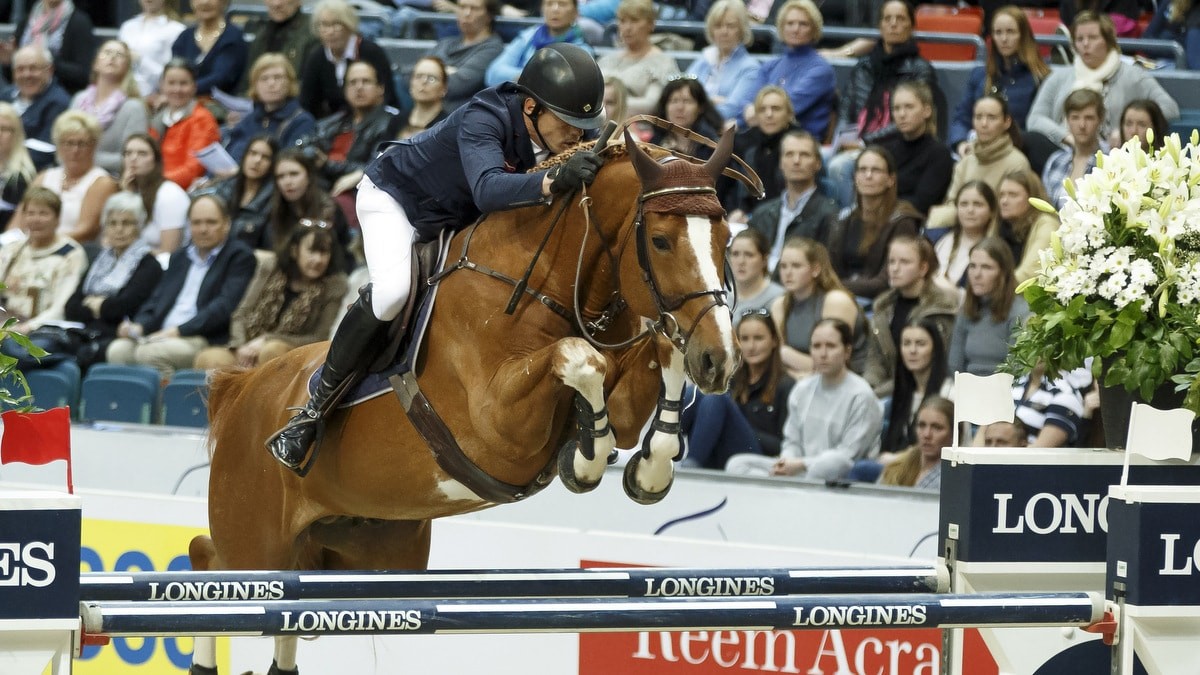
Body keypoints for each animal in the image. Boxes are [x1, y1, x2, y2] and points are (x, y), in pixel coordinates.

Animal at [184, 128, 748, 667]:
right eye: (660, 240)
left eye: (725, 239)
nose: (719, 361)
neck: (548, 284)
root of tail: (239, 391)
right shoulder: (497, 426)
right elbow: (579, 357)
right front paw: (588, 458)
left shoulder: (623, 392)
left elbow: (656, 357)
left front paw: (649, 468)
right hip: (257, 545)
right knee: (210, 562)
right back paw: (295, 437)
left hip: (366, 555)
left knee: (288, 606)